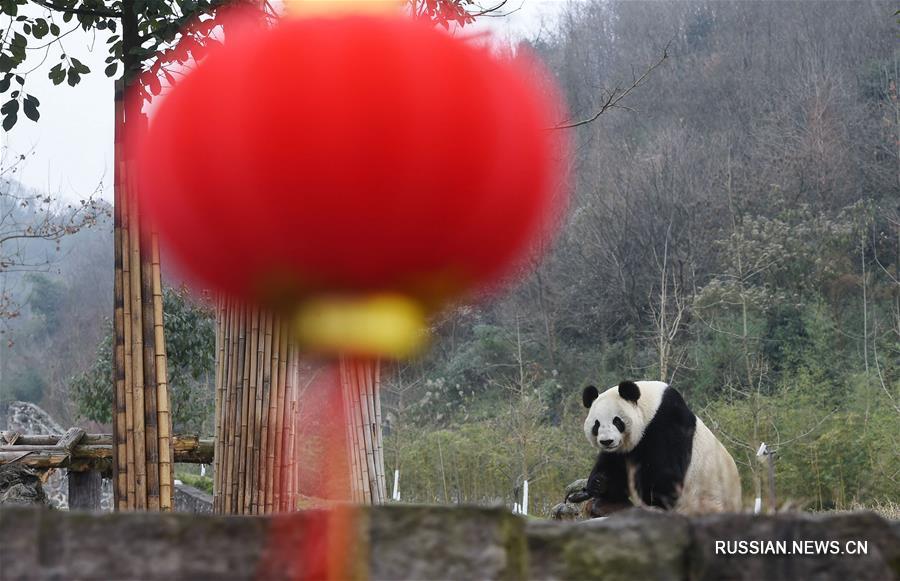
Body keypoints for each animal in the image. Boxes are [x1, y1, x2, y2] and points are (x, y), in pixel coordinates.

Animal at [580, 380, 740, 512]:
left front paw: (654, 501)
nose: (607, 441)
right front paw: (598, 483)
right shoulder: (623, 450)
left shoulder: (667, 425)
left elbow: (665, 474)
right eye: (596, 424)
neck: (650, 408)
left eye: (617, 421)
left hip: (706, 501)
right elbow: (614, 467)